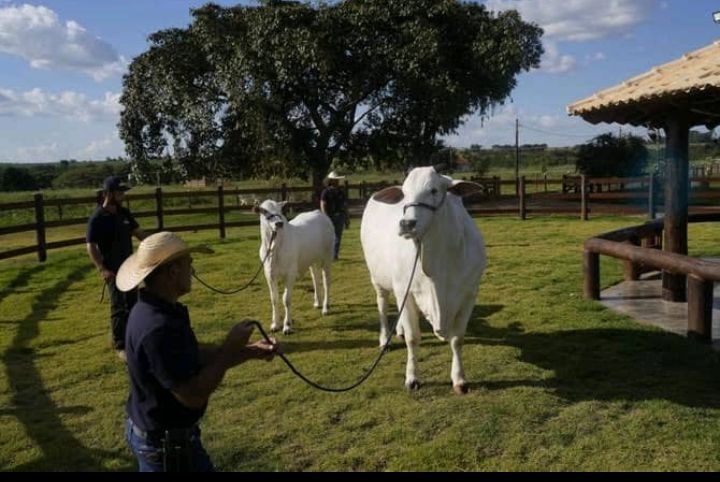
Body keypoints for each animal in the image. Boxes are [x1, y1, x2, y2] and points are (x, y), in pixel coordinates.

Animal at [254, 200, 335, 334]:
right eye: (264, 211)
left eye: (280, 211)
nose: (279, 223)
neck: (274, 248)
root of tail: (319, 213)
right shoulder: (269, 274)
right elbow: (274, 299)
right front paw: (275, 324)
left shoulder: (290, 273)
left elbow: (286, 299)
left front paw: (287, 325)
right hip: (311, 260)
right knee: (315, 279)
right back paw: (317, 302)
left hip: (327, 257)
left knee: (326, 281)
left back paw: (325, 307)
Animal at [360, 167, 486, 394]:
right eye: (404, 193)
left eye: (434, 190)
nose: (406, 224)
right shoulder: (407, 291)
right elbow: (413, 339)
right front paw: (412, 378)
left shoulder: (469, 294)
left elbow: (457, 339)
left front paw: (459, 379)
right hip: (379, 280)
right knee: (382, 306)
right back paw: (385, 339)